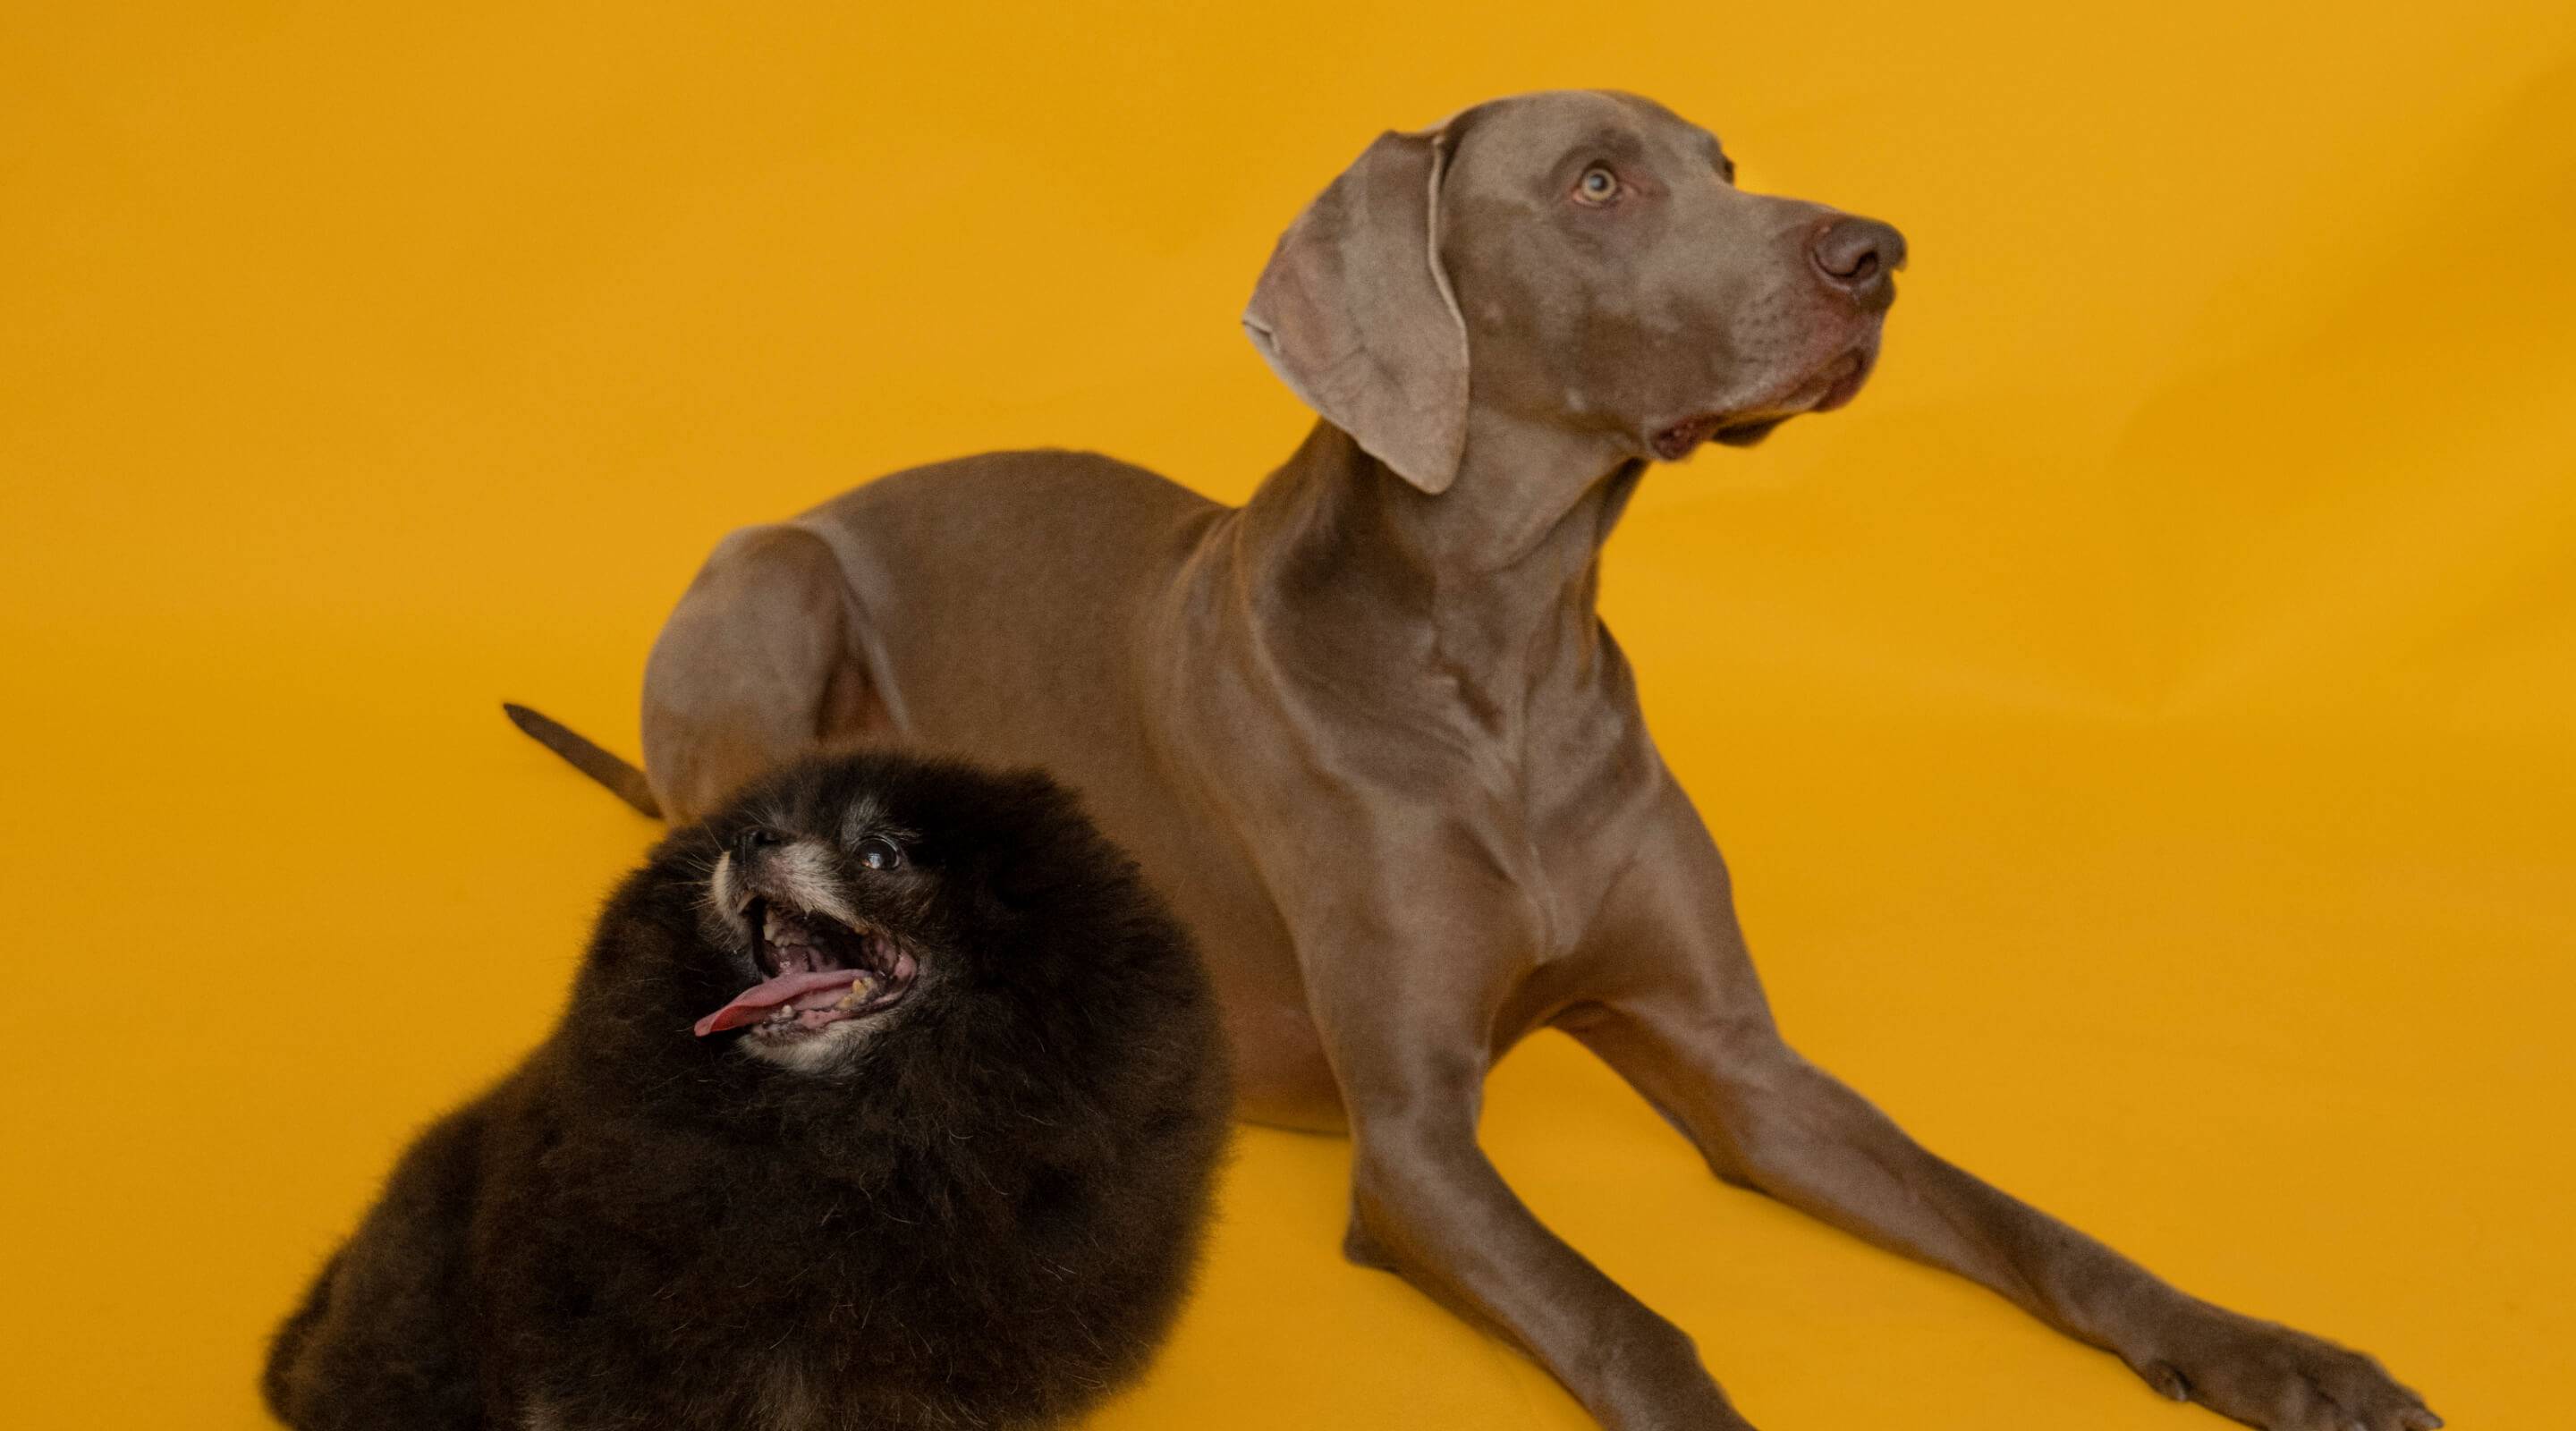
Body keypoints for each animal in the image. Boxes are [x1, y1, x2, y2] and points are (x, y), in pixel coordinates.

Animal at [509, 90, 2438, 1431]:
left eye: (1722, 158)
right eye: (1596, 182)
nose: (1878, 252)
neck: (1505, 655)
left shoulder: (1743, 1066)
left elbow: (2030, 1220)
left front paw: (2269, 1350)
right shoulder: (1416, 1149)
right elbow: (1630, 1327)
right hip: (771, 572)